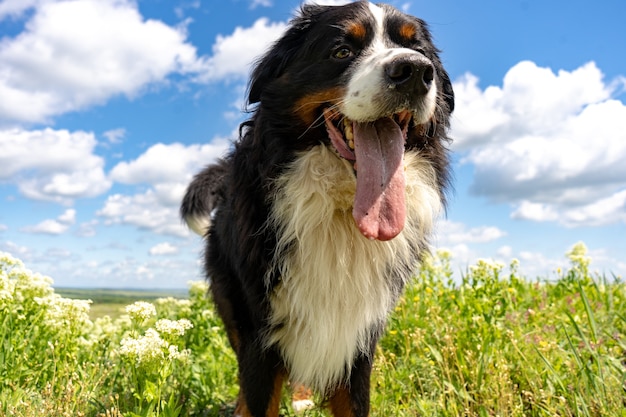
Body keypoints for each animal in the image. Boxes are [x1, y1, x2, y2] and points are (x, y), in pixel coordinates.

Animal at [180, 1, 454, 414]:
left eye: (418, 50)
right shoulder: (259, 330)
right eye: (342, 51)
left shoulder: (358, 335)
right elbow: (258, 393)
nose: (414, 72)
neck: (340, 210)